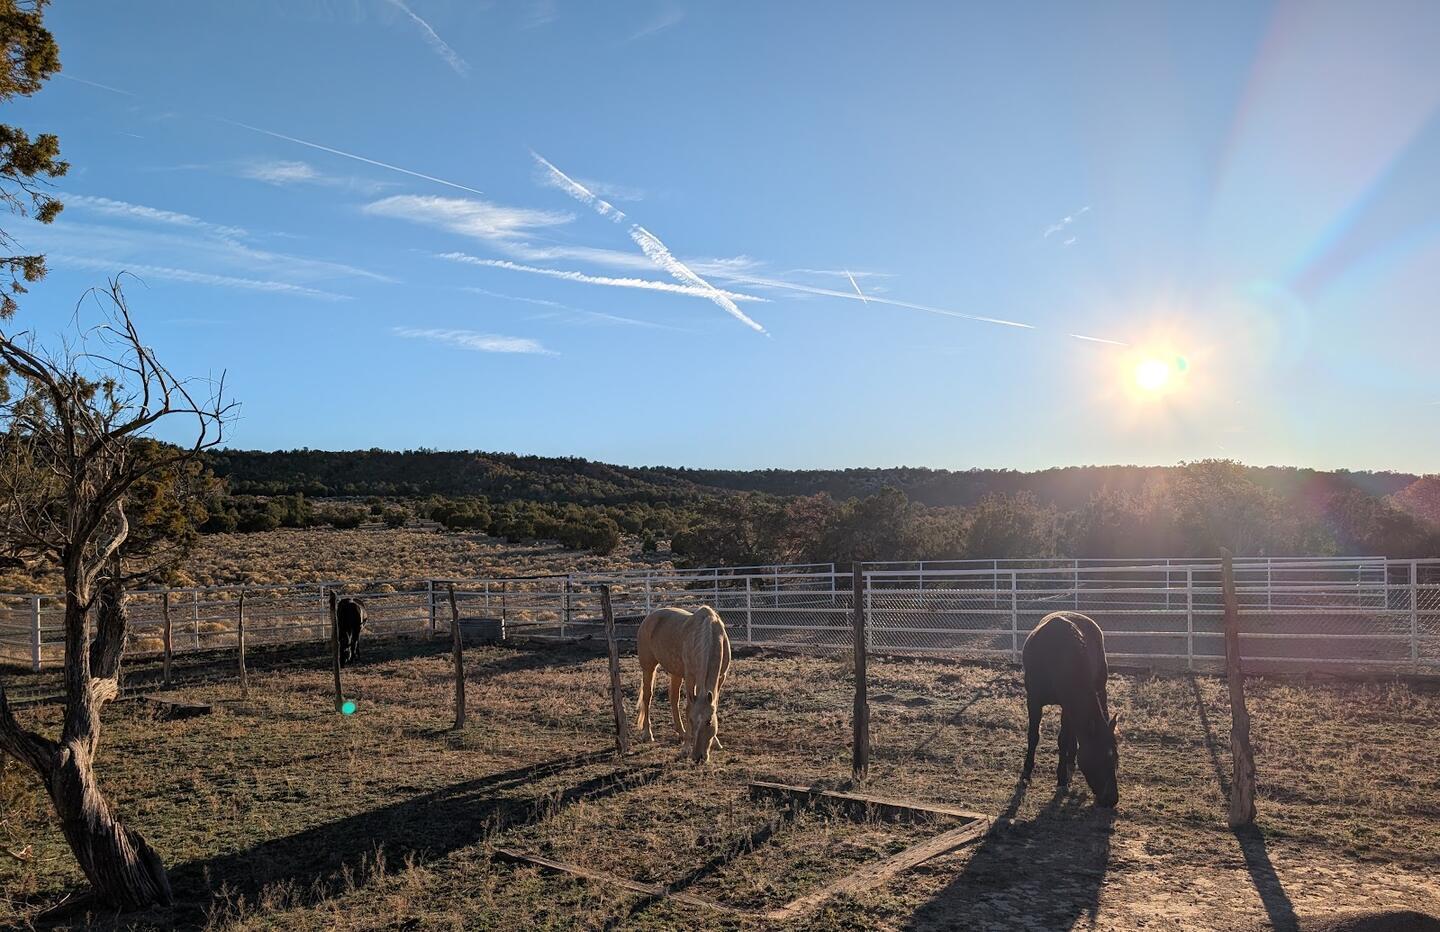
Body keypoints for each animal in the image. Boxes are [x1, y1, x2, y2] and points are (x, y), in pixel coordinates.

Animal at [635, 605, 732, 763]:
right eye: (692, 721)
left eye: (708, 722)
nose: (698, 757)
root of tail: (648, 618)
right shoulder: (690, 678)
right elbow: (688, 708)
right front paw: (686, 748)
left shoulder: (721, 677)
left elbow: (714, 705)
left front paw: (716, 742)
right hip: (648, 668)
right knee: (647, 697)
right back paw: (648, 734)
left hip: (675, 673)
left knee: (673, 698)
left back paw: (680, 732)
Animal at [1021, 611, 1119, 807]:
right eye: (1102, 757)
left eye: (1115, 758)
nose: (1112, 799)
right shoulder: (1033, 699)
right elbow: (1033, 735)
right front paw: (1026, 772)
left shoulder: (1067, 705)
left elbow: (1063, 740)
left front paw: (1061, 780)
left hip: (1100, 688)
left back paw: (1070, 762)